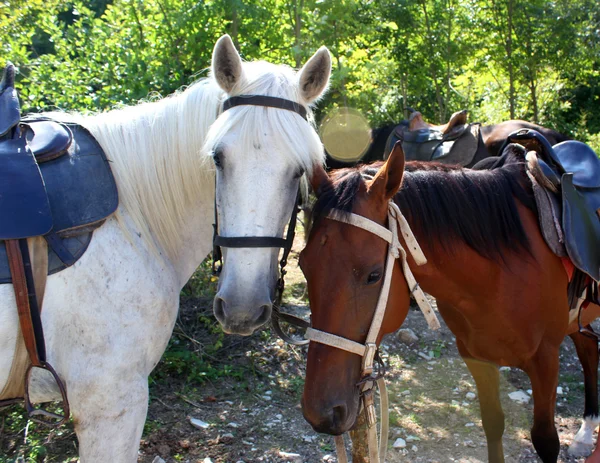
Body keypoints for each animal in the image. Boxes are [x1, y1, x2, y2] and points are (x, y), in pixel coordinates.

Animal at [302, 143, 600, 462]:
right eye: (304, 265)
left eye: (374, 275)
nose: (321, 412)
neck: (498, 273)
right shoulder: (477, 357)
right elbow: (492, 424)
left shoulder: (546, 360)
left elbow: (545, 440)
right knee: (588, 348)